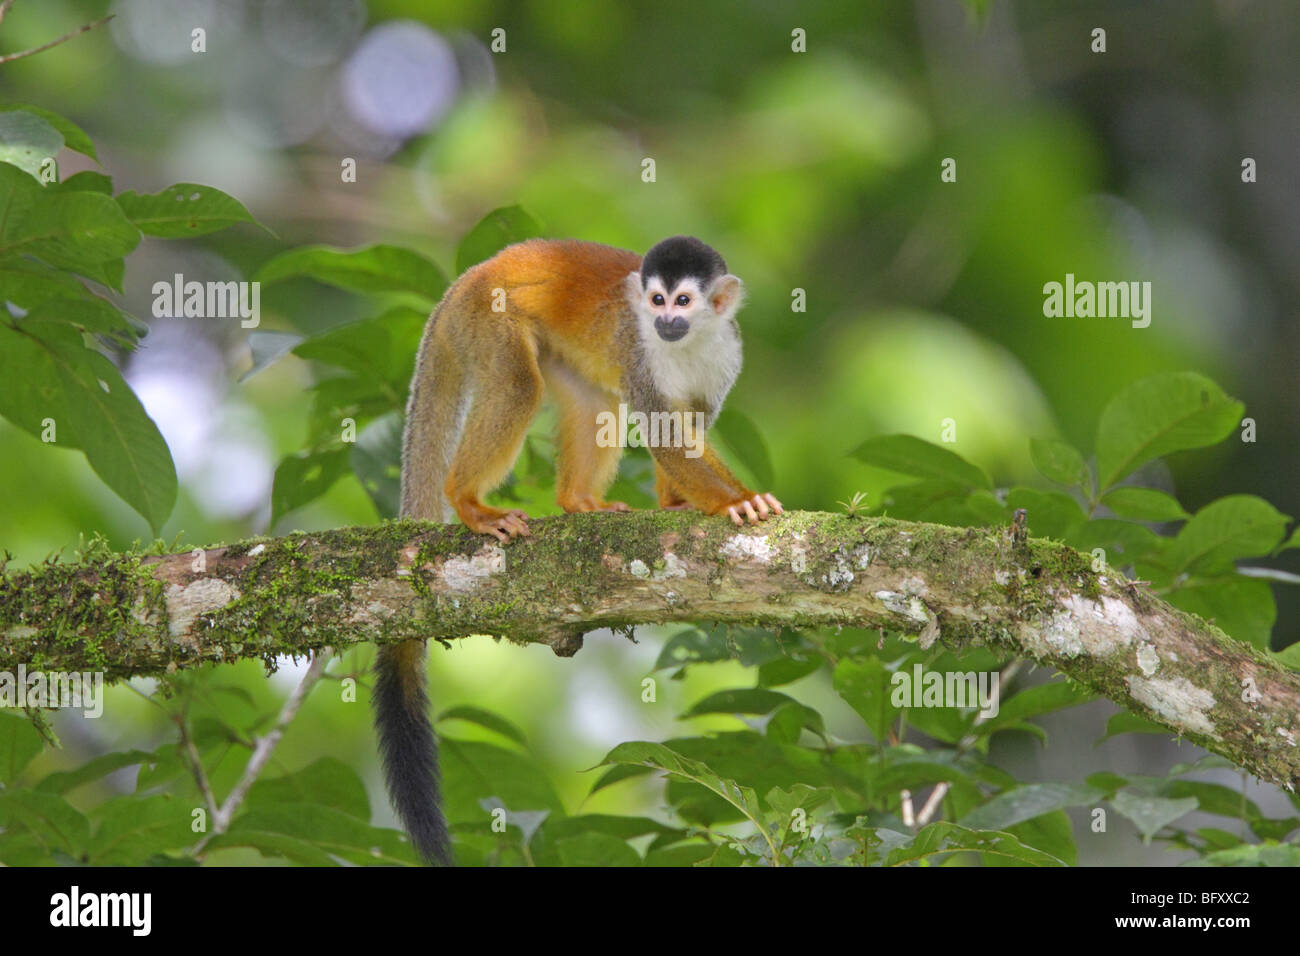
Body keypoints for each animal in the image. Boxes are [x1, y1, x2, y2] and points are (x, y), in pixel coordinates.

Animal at [377, 235, 780, 863]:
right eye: (657, 299)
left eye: (684, 301)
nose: (663, 321)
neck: (688, 343)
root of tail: (468, 278)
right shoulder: (639, 353)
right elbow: (664, 431)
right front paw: (734, 503)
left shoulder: (726, 355)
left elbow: (688, 425)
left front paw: (679, 505)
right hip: (488, 323)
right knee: (521, 386)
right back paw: (467, 501)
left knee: (596, 399)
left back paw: (578, 503)